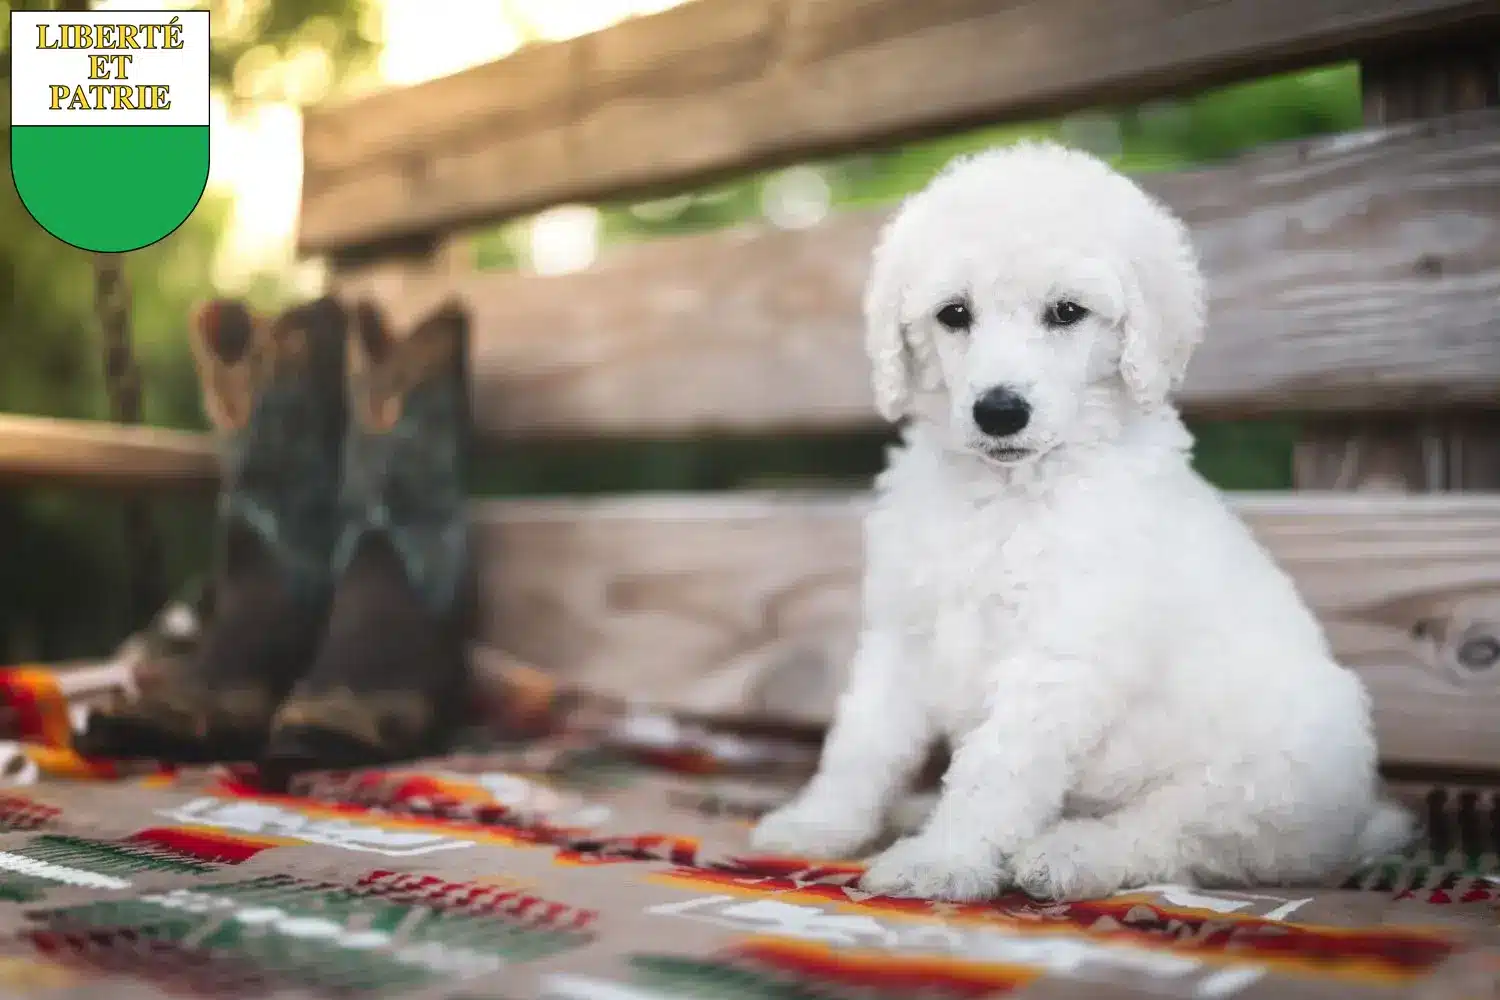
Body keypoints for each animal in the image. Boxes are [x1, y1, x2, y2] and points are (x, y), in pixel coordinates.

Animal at [756, 142, 1410, 905]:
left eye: (1067, 311)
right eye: (954, 313)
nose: (999, 411)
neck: (1008, 492)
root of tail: (1355, 823)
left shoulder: (1060, 655)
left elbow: (994, 771)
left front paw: (943, 861)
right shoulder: (902, 632)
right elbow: (865, 741)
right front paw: (819, 826)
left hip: (1263, 775)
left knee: (1178, 835)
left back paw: (1070, 852)